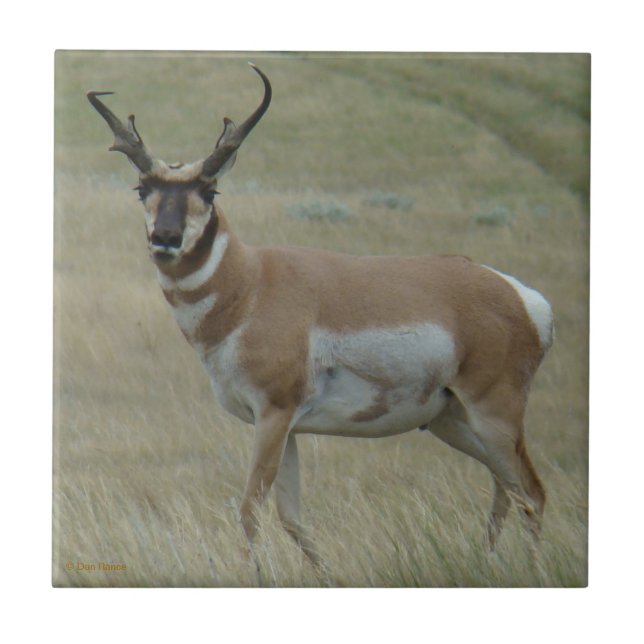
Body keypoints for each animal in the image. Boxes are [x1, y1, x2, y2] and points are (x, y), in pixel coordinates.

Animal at [87, 64, 553, 575]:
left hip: (495, 413)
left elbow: (250, 509)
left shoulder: (274, 414)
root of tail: (522, 296)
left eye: (209, 190)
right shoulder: (285, 426)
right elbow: (291, 516)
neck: (251, 284)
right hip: (452, 420)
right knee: (505, 488)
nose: (166, 238)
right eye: (142, 189)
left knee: (531, 493)